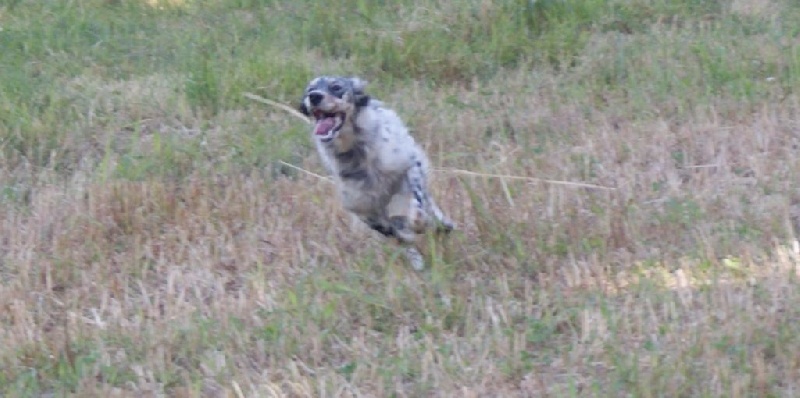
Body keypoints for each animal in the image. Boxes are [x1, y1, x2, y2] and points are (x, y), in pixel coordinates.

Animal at [300, 77, 454, 270]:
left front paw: (423, 224)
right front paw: (413, 251)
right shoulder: (363, 209)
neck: (357, 152)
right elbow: (395, 234)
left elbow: (418, 212)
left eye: (336, 87)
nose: (314, 96)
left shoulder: (410, 166)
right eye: (309, 90)